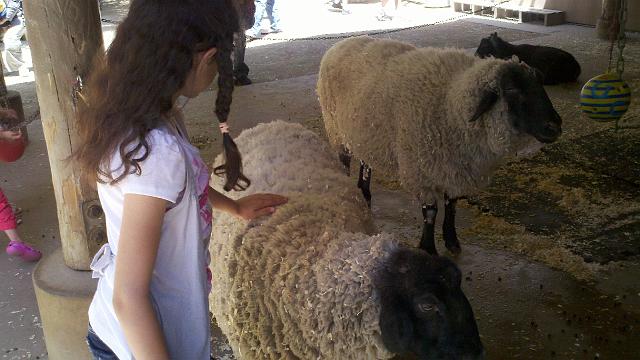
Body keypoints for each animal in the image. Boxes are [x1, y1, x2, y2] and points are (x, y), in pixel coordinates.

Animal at [318, 35, 564, 256]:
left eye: (540, 84)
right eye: (512, 90)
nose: (555, 126)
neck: (451, 103)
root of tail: (342, 43)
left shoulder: (454, 167)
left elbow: (451, 206)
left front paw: (451, 240)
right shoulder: (421, 170)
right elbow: (431, 212)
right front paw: (428, 248)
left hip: (363, 133)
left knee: (365, 162)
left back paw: (365, 194)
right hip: (336, 129)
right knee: (344, 163)